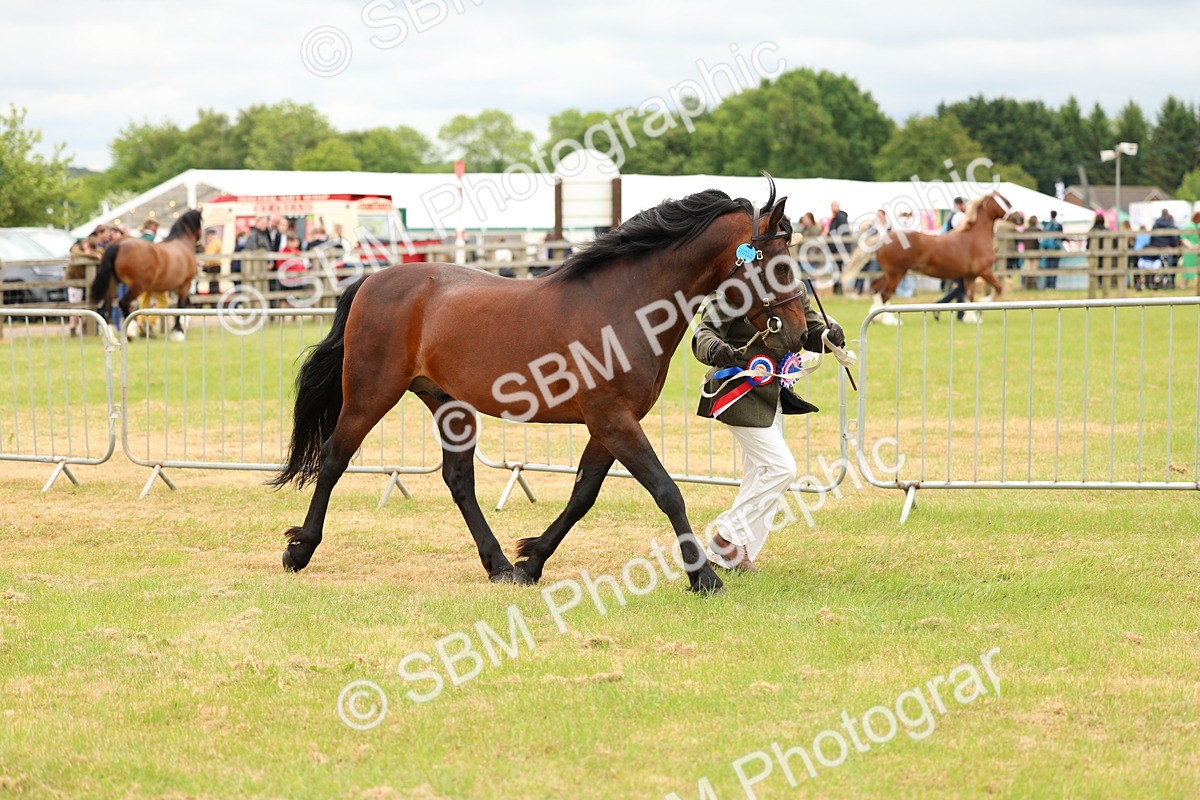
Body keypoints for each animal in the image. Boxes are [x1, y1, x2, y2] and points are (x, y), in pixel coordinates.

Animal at [90, 209, 203, 340]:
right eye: (202, 221)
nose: (201, 246)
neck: (182, 244)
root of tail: (119, 243)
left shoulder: (175, 287)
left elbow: (185, 305)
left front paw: (181, 327)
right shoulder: (185, 284)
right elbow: (181, 306)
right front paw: (178, 331)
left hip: (113, 283)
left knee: (106, 308)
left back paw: (112, 337)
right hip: (137, 287)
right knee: (123, 303)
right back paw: (131, 331)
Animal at [270, 177, 809, 594]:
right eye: (779, 263)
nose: (800, 332)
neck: (624, 305)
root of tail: (371, 281)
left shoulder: (609, 425)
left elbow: (583, 494)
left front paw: (530, 562)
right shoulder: (614, 420)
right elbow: (667, 491)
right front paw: (705, 578)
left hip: (448, 405)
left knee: (459, 480)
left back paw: (499, 566)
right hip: (370, 393)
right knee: (335, 458)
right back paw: (300, 550)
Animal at [839, 193, 1016, 320]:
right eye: (1006, 202)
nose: (1019, 218)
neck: (975, 235)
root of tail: (884, 238)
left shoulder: (970, 275)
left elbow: (970, 297)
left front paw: (972, 317)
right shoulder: (984, 271)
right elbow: (998, 289)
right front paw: (983, 306)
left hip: (890, 273)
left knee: (876, 287)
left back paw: (877, 316)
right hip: (896, 273)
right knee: (885, 292)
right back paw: (890, 320)